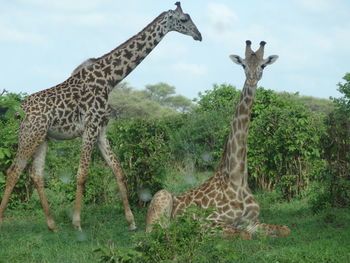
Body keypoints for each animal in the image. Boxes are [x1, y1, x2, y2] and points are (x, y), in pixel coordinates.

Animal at [0, 2, 202, 233]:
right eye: (185, 19)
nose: (199, 35)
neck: (110, 79)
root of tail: (20, 110)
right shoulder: (91, 125)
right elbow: (82, 174)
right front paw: (77, 223)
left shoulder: (101, 129)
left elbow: (118, 171)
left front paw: (131, 222)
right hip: (30, 134)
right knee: (13, 171)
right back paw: (4, 220)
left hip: (42, 137)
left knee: (36, 174)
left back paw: (52, 226)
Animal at [145, 40, 290, 239]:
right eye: (243, 65)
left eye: (263, 65)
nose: (252, 80)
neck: (237, 181)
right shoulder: (208, 223)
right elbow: (244, 235)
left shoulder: (251, 222)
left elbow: (285, 229)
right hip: (162, 196)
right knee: (154, 233)